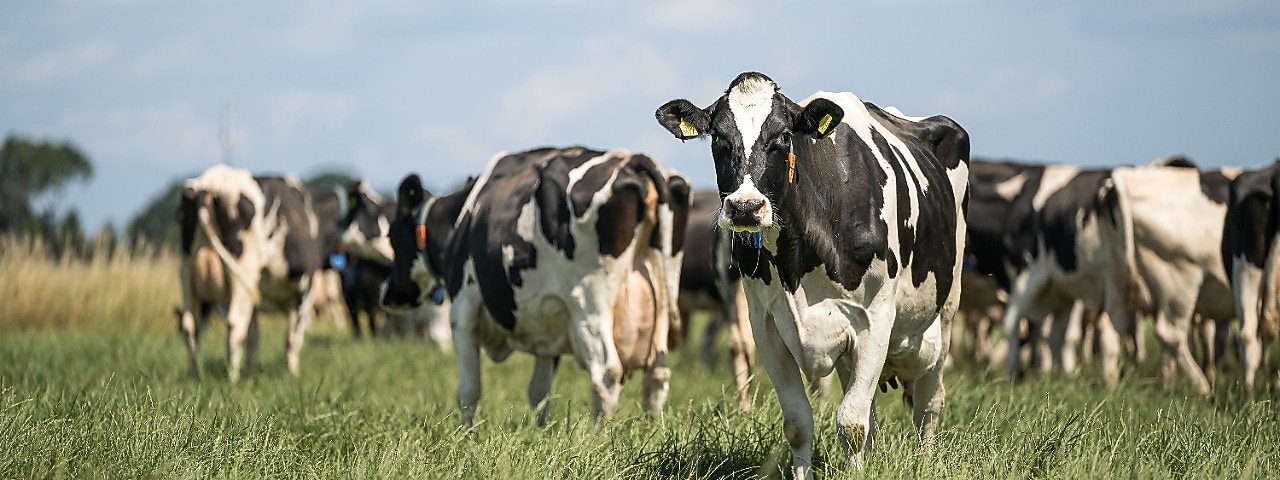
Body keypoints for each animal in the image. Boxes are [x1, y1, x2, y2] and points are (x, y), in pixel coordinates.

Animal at [176, 164, 336, 381]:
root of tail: (212, 181)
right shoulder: (305, 289)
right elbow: (293, 337)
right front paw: (292, 372)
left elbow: (254, 337)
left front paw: (249, 372)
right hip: (242, 270)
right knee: (235, 324)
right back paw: (232, 378)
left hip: (187, 272)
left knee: (190, 325)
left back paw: (194, 375)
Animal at [382, 147, 689, 427]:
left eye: (392, 235)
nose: (388, 294)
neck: (461, 219)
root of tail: (630, 158)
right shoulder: (550, 320)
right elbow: (540, 393)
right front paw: (540, 431)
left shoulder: (463, 309)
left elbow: (469, 389)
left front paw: (466, 433)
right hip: (661, 301)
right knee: (657, 375)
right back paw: (651, 431)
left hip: (589, 305)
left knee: (606, 373)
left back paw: (598, 438)